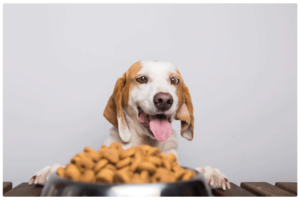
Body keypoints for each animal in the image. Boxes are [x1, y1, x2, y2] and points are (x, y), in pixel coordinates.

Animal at [28, 59, 230, 191]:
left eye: (174, 80)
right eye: (141, 79)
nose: (164, 100)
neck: (145, 143)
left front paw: (213, 172)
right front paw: (49, 170)